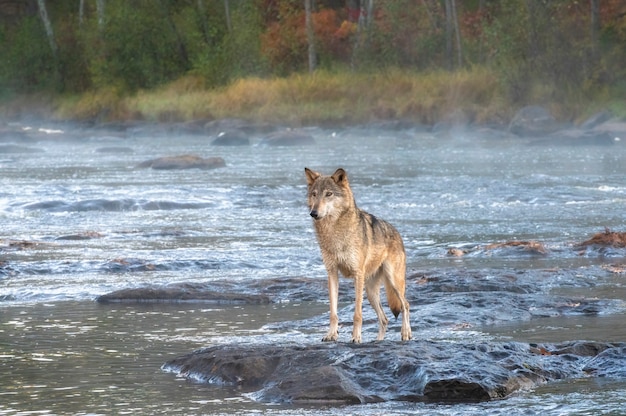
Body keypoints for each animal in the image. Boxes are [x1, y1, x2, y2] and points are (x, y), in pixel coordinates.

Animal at [304, 167, 412, 342]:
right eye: (314, 194)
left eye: (328, 194)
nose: (313, 213)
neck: (334, 232)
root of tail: (397, 233)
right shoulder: (332, 273)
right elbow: (333, 312)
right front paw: (331, 334)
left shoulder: (357, 274)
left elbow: (357, 314)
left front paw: (356, 337)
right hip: (370, 292)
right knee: (385, 319)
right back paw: (378, 341)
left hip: (393, 281)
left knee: (405, 305)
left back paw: (406, 333)